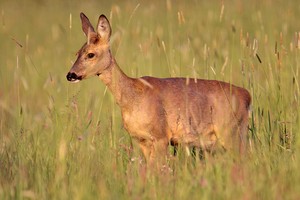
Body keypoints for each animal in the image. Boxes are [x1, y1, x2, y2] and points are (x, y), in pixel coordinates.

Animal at [66, 12, 251, 166]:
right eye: (77, 53)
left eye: (90, 54)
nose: (71, 75)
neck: (132, 97)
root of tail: (247, 95)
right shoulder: (142, 140)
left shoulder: (161, 135)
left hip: (231, 132)